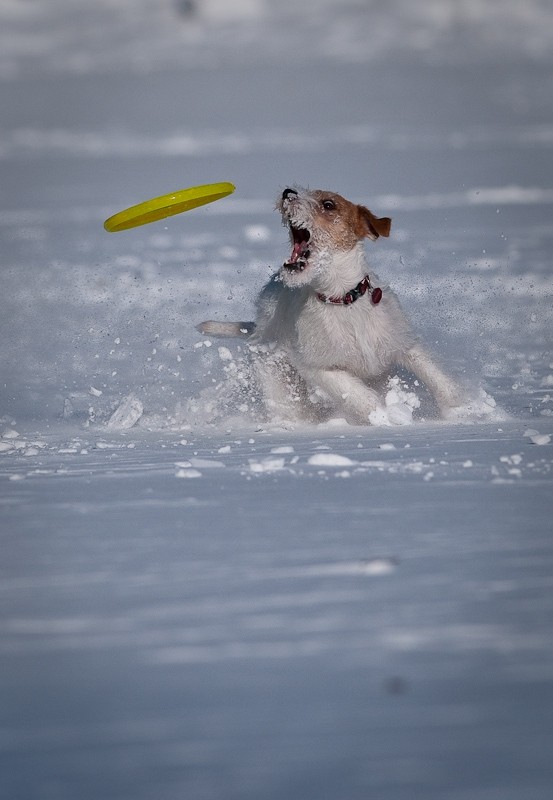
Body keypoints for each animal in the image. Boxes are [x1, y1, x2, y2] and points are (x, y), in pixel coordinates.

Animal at [196, 187, 464, 424]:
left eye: (328, 204)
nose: (288, 193)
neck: (343, 299)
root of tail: (258, 326)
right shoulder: (318, 366)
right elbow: (357, 394)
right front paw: (385, 417)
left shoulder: (403, 343)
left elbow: (437, 377)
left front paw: (464, 410)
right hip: (276, 377)